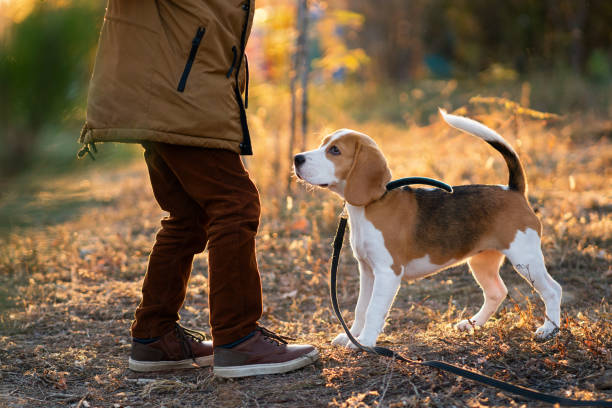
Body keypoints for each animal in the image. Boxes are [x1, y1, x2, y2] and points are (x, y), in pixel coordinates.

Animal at [294, 110, 560, 350]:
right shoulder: (367, 270)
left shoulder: (387, 273)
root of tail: (512, 189)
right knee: (496, 292)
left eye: (335, 150)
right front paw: (352, 335)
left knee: (552, 290)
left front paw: (365, 342)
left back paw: (549, 329)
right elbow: (361, 308)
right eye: (323, 144)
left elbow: (374, 310)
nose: (297, 158)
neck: (372, 205)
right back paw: (472, 324)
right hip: (481, 260)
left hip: (525, 259)